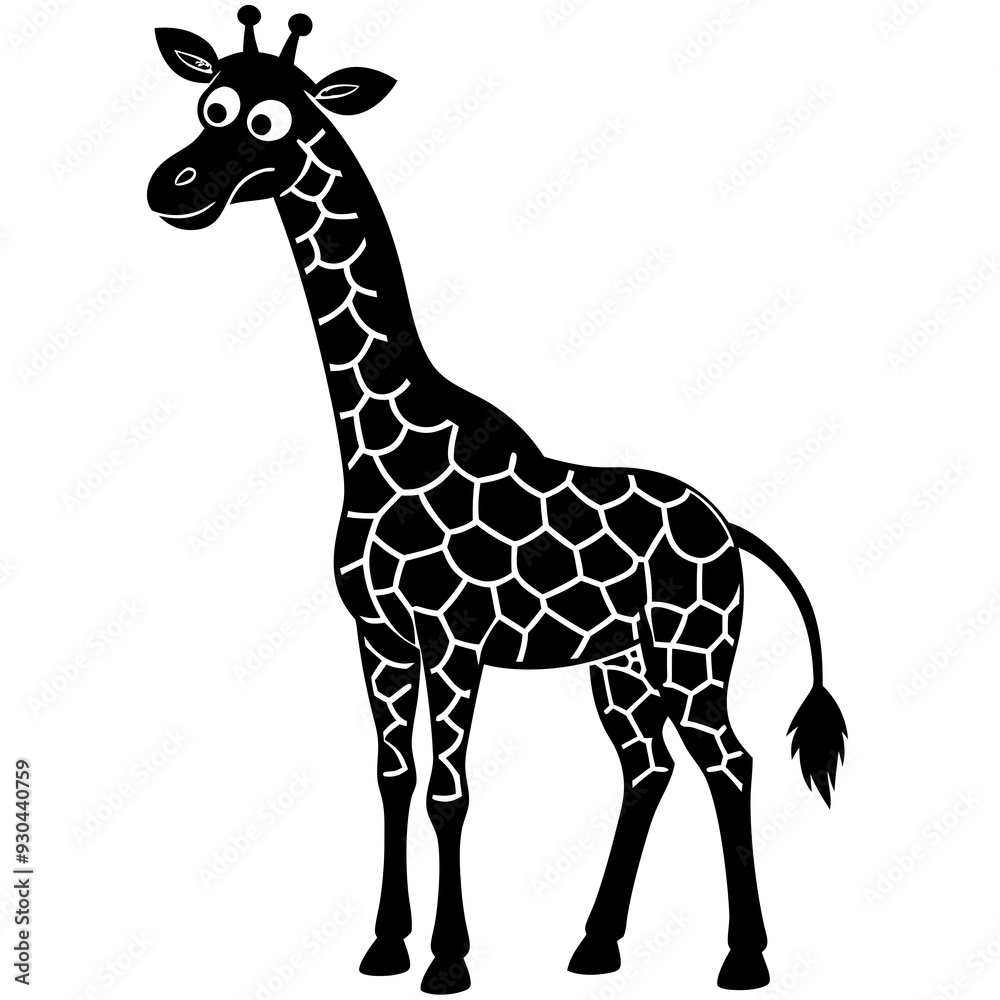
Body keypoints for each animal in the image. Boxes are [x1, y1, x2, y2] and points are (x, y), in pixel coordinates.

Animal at [147, 8, 848, 992]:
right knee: (648, 768)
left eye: (268, 121)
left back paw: (742, 958)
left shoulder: (453, 642)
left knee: (730, 763)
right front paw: (384, 946)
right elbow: (394, 777)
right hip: (621, 666)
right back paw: (595, 946)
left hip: (693, 652)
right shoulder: (379, 639)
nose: (170, 188)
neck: (381, 437)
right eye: (207, 104)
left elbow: (451, 790)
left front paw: (447, 959)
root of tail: (728, 528)